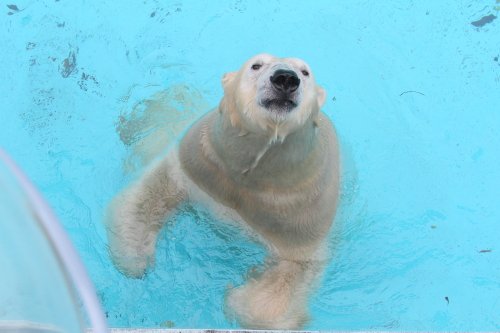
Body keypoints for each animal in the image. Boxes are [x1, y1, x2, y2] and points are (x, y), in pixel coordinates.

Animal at [105, 53, 340, 328]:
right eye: (256, 65)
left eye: (305, 72)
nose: (285, 78)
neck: (254, 173)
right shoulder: (202, 167)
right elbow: (155, 189)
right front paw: (135, 258)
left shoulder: (299, 213)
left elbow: (296, 268)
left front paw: (237, 295)